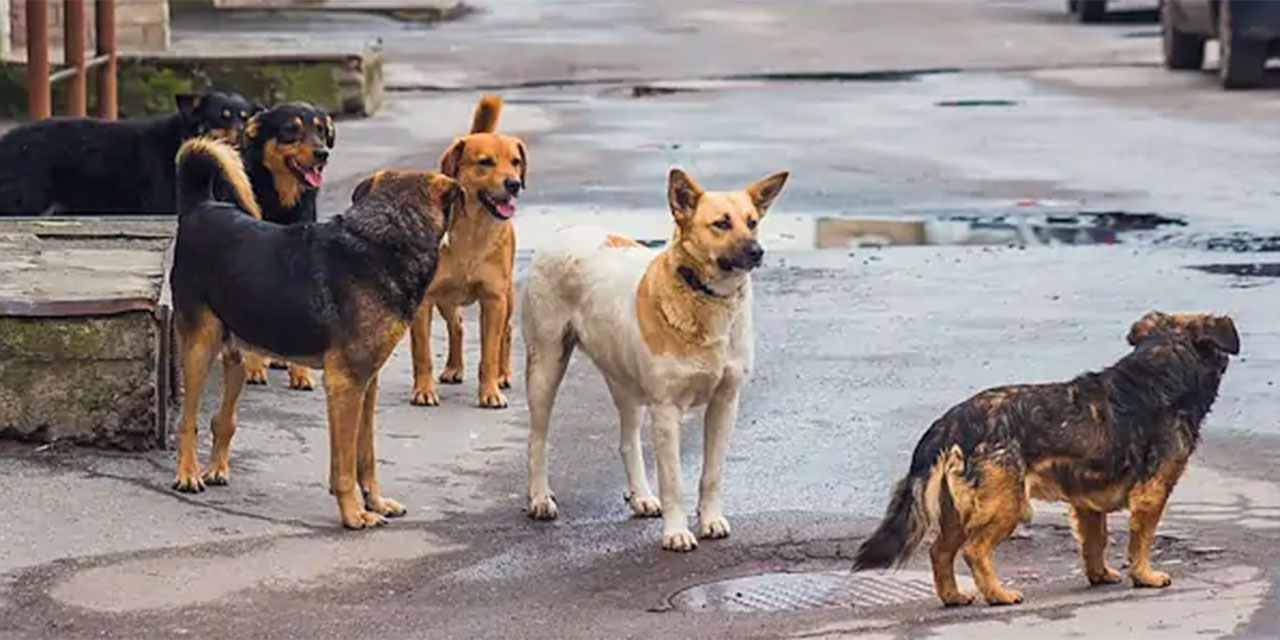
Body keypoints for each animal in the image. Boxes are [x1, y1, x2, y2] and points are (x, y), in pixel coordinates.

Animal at [0, 90, 257, 217]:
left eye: (246, 118)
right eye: (222, 117)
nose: (244, 133)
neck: (182, 139)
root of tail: (6, 141)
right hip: (26, 200)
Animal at [231, 101, 337, 389]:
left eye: (321, 130)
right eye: (291, 129)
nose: (322, 154)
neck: (281, 199)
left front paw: (300, 374)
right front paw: (254, 368)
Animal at [412, 92, 527, 407]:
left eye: (515, 162)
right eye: (485, 162)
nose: (514, 184)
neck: (472, 231)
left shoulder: (493, 299)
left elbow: (489, 353)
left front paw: (490, 391)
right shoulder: (424, 302)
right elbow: (422, 354)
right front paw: (423, 390)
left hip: (507, 297)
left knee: (506, 332)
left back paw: (503, 374)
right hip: (446, 299)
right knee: (458, 325)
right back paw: (454, 367)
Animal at [519, 168, 788, 550]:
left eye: (752, 222)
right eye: (721, 223)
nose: (757, 251)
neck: (704, 297)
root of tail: (566, 232)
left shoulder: (725, 403)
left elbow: (712, 474)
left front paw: (710, 520)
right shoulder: (666, 409)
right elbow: (673, 480)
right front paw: (676, 532)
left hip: (625, 382)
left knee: (627, 441)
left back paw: (641, 496)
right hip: (546, 366)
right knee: (537, 439)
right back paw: (540, 498)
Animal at [855, 312, 1233, 606]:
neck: (1159, 371)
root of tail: (951, 422)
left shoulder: (1086, 504)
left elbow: (1094, 543)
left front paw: (1099, 575)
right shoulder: (1151, 494)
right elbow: (1140, 541)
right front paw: (1145, 576)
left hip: (959, 511)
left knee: (940, 552)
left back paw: (954, 597)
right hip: (1006, 504)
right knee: (974, 551)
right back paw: (998, 595)